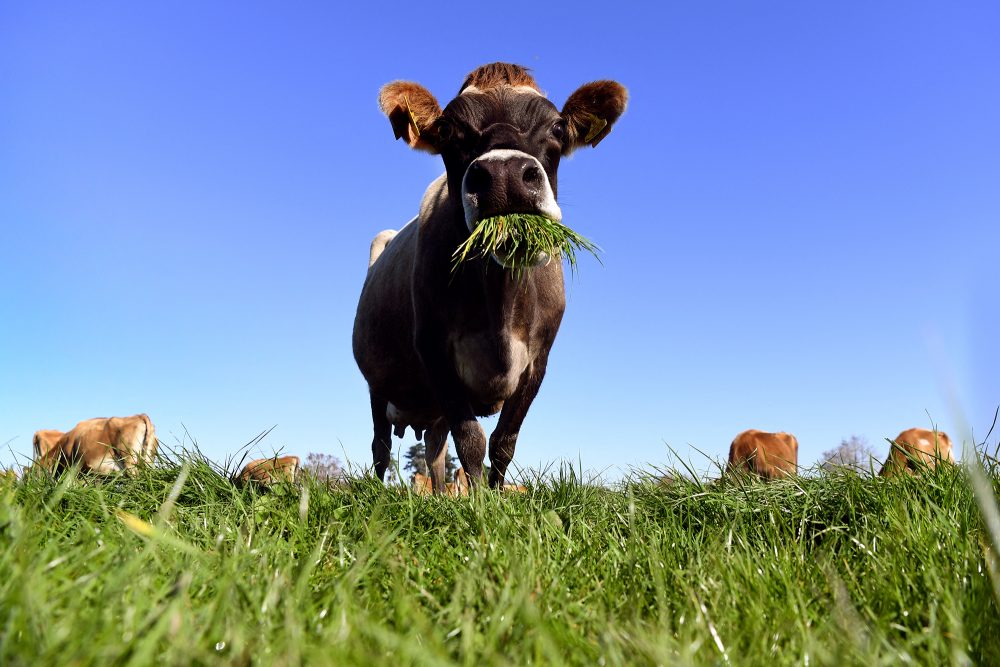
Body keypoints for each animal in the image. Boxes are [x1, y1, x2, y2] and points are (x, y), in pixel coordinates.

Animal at [354, 62, 624, 494]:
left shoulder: (537, 361)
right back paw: (379, 493)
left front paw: (496, 498)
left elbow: (503, 442)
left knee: (434, 448)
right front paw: (479, 501)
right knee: (380, 445)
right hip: (377, 383)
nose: (504, 174)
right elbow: (471, 440)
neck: (501, 304)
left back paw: (440, 496)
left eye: (558, 126)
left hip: (431, 407)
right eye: (447, 129)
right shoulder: (433, 348)